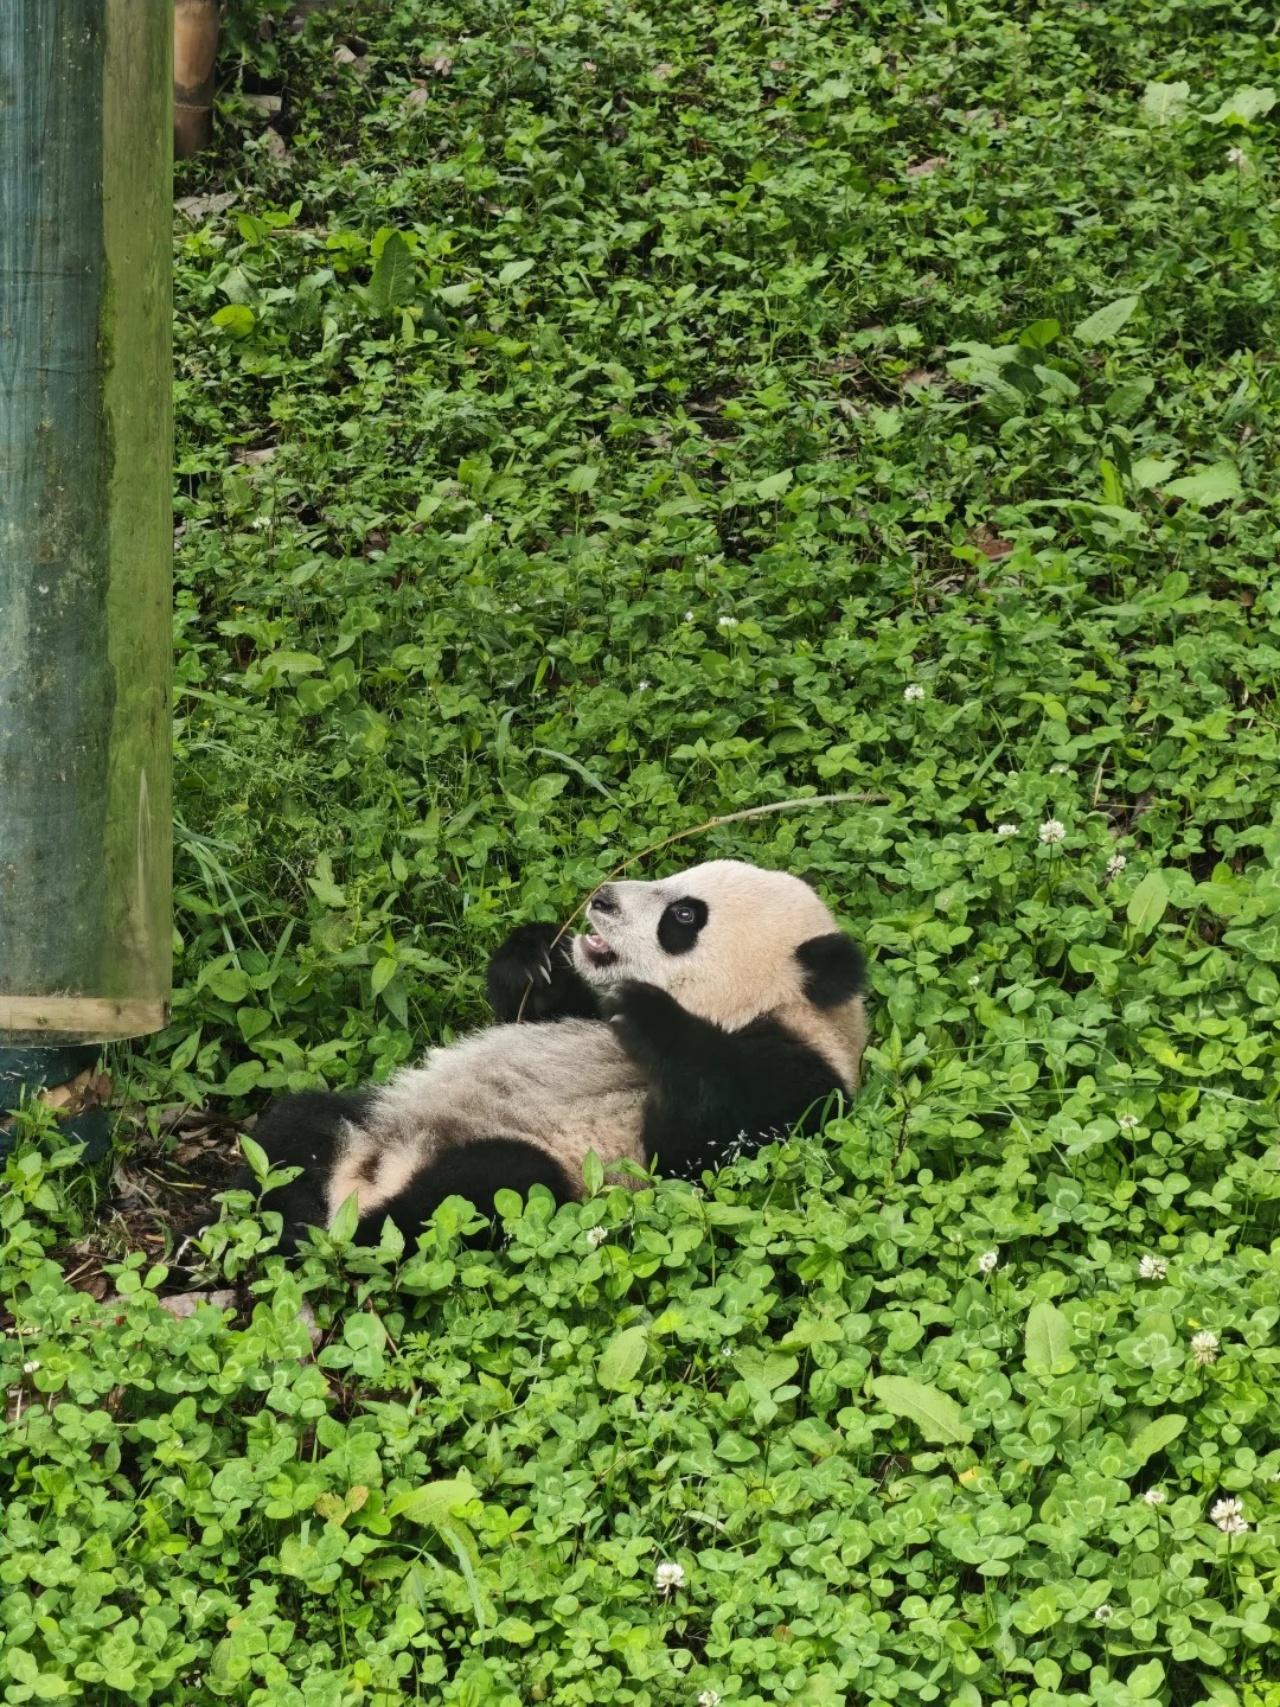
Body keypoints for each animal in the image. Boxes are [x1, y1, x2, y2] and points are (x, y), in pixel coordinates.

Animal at [248, 858, 868, 1248]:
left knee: (481, 1190)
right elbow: (540, 1011)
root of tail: (366, 1176)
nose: (602, 898)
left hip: (536, 1175)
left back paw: (342, 1236)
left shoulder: (802, 1083)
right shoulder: (580, 1013)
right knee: (296, 1128)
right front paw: (533, 956)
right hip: (368, 1117)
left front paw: (648, 1013)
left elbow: (702, 1151)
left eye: (685, 915)